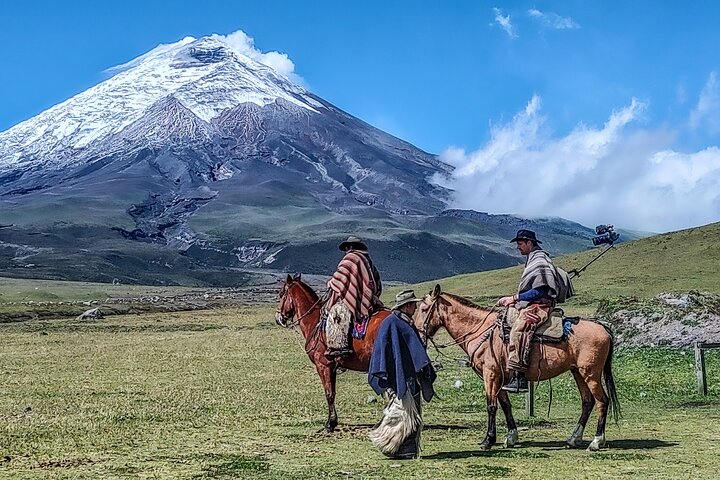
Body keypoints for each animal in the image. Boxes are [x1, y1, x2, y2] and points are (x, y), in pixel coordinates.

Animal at [276, 272, 390, 434]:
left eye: (281, 294)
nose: (278, 318)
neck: (314, 321)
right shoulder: (333, 367)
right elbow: (333, 392)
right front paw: (333, 421)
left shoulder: (323, 365)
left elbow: (328, 393)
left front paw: (330, 424)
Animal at [416, 284, 620, 450]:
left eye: (424, 308)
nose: (418, 334)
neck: (481, 330)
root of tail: (603, 328)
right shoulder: (500, 378)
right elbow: (506, 405)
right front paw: (511, 437)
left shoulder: (490, 375)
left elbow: (491, 406)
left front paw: (488, 441)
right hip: (578, 372)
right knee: (587, 402)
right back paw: (573, 439)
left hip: (591, 374)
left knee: (602, 401)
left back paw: (596, 441)